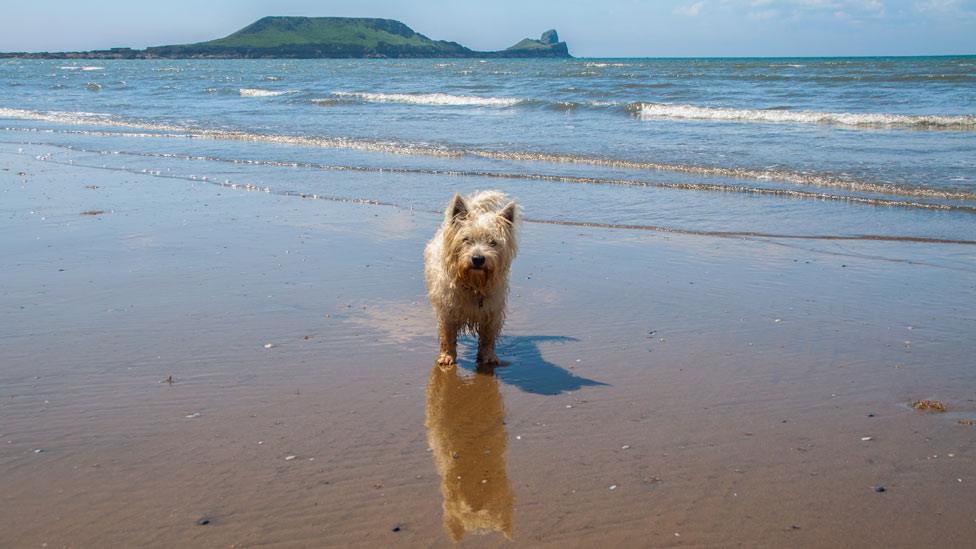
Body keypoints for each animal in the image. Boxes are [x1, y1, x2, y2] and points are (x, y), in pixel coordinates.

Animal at [426, 191, 520, 366]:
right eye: (466, 239)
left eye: (492, 242)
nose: (478, 259)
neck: (473, 284)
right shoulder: (447, 311)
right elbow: (447, 335)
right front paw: (447, 356)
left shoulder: (492, 312)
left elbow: (488, 337)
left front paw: (488, 356)